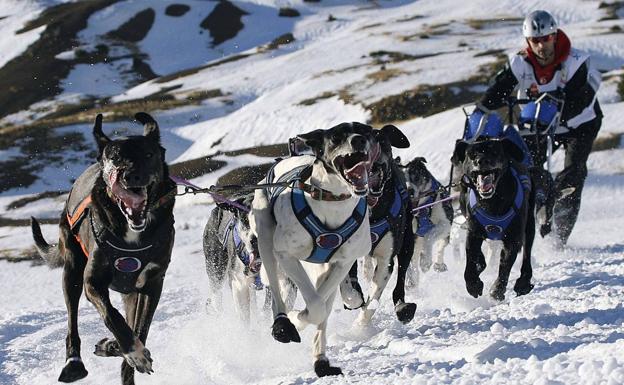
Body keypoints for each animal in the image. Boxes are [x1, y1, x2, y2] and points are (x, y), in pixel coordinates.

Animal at [31, 112, 176, 382]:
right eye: (115, 156)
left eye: (148, 154)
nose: (130, 176)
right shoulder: (92, 282)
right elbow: (112, 317)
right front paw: (133, 351)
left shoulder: (152, 283)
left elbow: (140, 328)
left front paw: (124, 350)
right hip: (72, 271)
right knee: (72, 322)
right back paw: (74, 363)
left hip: (130, 293)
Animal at [251, 122, 378, 376]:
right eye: (337, 136)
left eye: (366, 131)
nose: (359, 140)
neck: (332, 200)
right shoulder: (286, 255)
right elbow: (316, 305)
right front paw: (293, 319)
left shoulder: (342, 262)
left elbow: (321, 307)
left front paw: (302, 320)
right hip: (267, 240)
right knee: (277, 294)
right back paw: (282, 324)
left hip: (323, 268)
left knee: (323, 303)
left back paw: (320, 360)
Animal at [336, 125, 414, 324]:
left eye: (382, 140)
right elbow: (346, 284)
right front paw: (352, 299)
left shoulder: (386, 259)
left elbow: (372, 301)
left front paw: (360, 327)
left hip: (407, 240)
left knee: (401, 276)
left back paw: (403, 307)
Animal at [454, 136, 536, 300]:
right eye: (471, 154)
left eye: (494, 151)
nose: (481, 160)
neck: (493, 202)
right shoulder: (473, 232)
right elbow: (470, 259)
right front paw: (473, 283)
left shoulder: (513, 239)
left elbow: (505, 265)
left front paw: (497, 289)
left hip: (529, 224)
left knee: (527, 253)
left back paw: (523, 281)